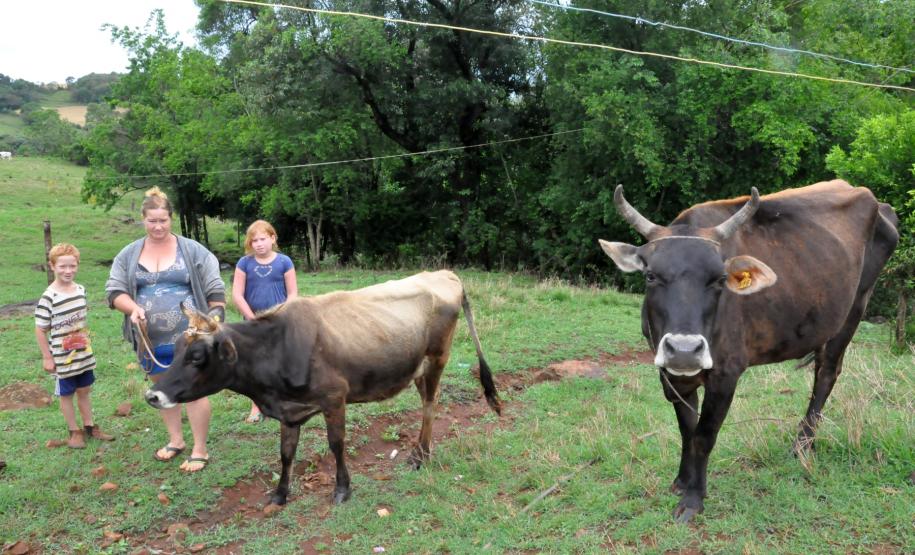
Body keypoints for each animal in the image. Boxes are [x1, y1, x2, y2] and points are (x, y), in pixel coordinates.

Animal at [145, 270, 501, 506]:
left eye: (196, 356)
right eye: (175, 350)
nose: (152, 395)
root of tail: (443, 273)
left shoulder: (334, 398)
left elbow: (336, 444)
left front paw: (342, 489)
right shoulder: (289, 412)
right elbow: (286, 453)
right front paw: (279, 494)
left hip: (437, 357)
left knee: (430, 403)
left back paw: (420, 455)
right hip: (418, 367)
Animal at [599, 180, 898, 523]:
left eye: (719, 280)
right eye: (651, 275)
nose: (685, 350)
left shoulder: (726, 374)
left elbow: (704, 435)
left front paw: (693, 498)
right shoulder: (671, 374)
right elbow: (687, 430)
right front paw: (682, 480)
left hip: (854, 309)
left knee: (826, 374)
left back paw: (802, 445)